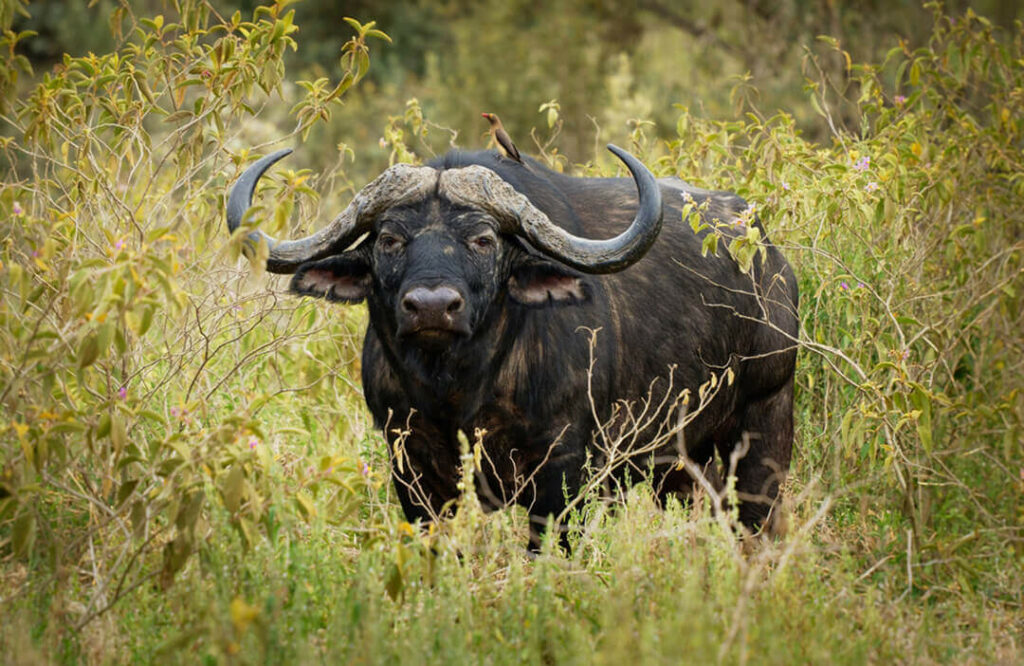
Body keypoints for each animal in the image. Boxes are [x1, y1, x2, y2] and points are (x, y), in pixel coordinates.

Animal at [226, 143, 798, 545]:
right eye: (389, 239)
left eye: (483, 239)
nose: (431, 306)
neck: (458, 389)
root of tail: (768, 258)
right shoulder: (411, 468)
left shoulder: (563, 475)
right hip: (678, 466)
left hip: (764, 427)